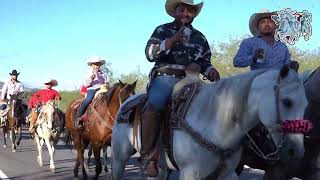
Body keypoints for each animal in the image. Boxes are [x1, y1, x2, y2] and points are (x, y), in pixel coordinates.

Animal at [112, 66, 310, 180]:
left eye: (306, 104)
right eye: (287, 102)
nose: (296, 151)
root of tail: (127, 103)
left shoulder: (228, 174)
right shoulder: (190, 174)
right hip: (119, 159)